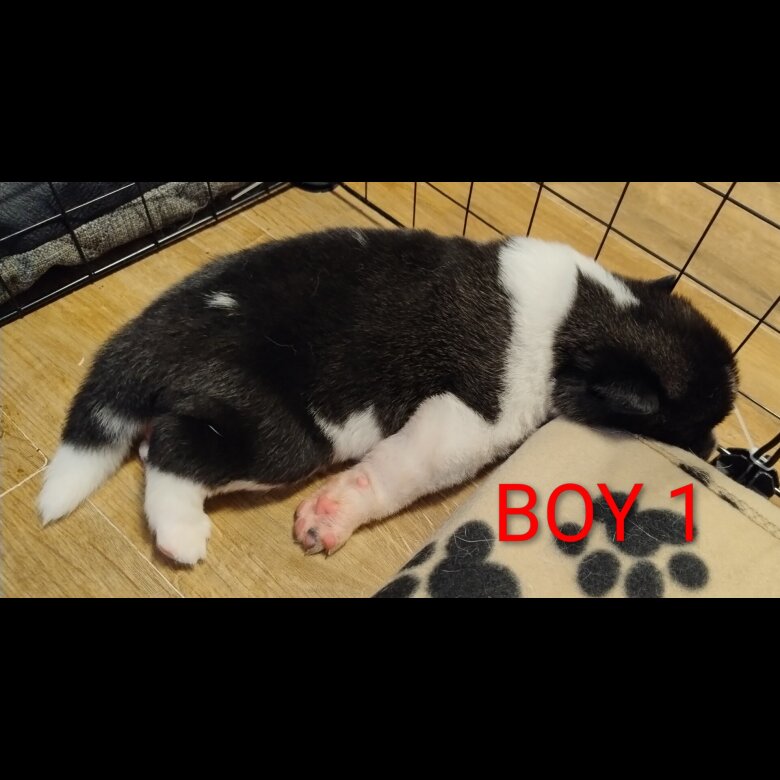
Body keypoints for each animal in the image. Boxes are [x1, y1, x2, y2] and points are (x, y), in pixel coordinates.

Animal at [38, 228, 738, 564]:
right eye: (690, 425)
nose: (715, 453)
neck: (589, 317)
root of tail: (150, 334)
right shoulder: (466, 422)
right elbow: (395, 472)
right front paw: (332, 516)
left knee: (164, 435)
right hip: (284, 440)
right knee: (175, 452)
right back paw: (181, 532)